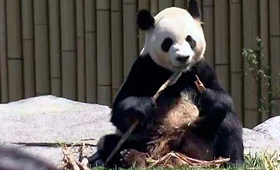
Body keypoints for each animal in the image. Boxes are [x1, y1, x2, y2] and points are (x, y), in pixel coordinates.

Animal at [89, 0, 243, 167]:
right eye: (168, 42)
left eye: (190, 39)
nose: (183, 57)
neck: (176, 74)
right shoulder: (143, 67)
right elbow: (120, 111)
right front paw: (144, 105)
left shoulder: (201, 69)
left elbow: (223, 96)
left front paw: (209, 97)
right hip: (144, 138)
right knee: (109, 143)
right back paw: (131, 156)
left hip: (203, 136)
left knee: (229, 124)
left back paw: (234, 161)